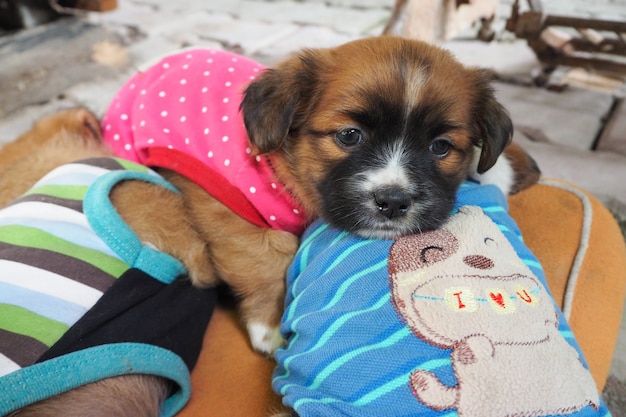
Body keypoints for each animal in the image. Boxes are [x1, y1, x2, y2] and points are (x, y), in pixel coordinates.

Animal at [102, 34, 536, 356]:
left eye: (441, 147)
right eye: (349, 135)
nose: (393, 202)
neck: (287, 172)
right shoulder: (224, 207)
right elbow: (264, 262)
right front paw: (270, 328)